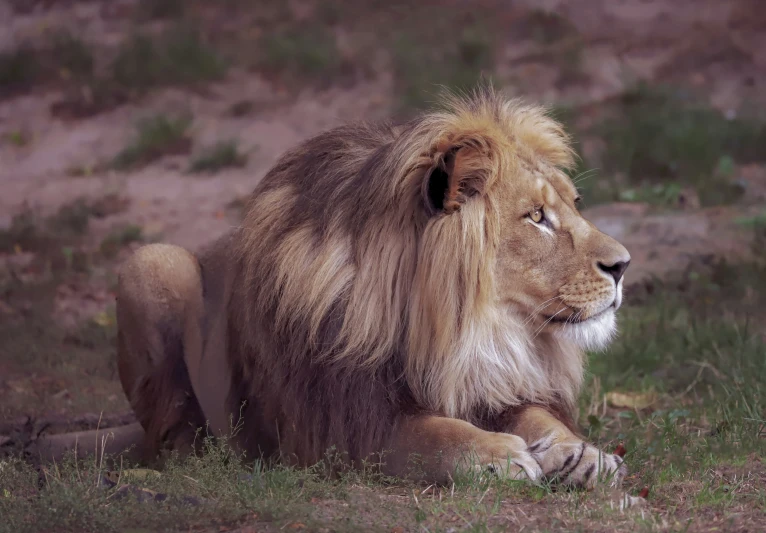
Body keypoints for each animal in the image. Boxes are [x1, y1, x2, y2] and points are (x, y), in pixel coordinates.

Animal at [117, 85, 632, 488]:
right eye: (536, 216)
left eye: (574, 204)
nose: (624, 265)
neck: (463, 330)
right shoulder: (343, 426)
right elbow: (433, 436)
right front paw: (498, 455)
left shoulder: (486, 379)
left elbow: (533, 413)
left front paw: (582, 453)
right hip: (152, 263)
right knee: (173, 438)